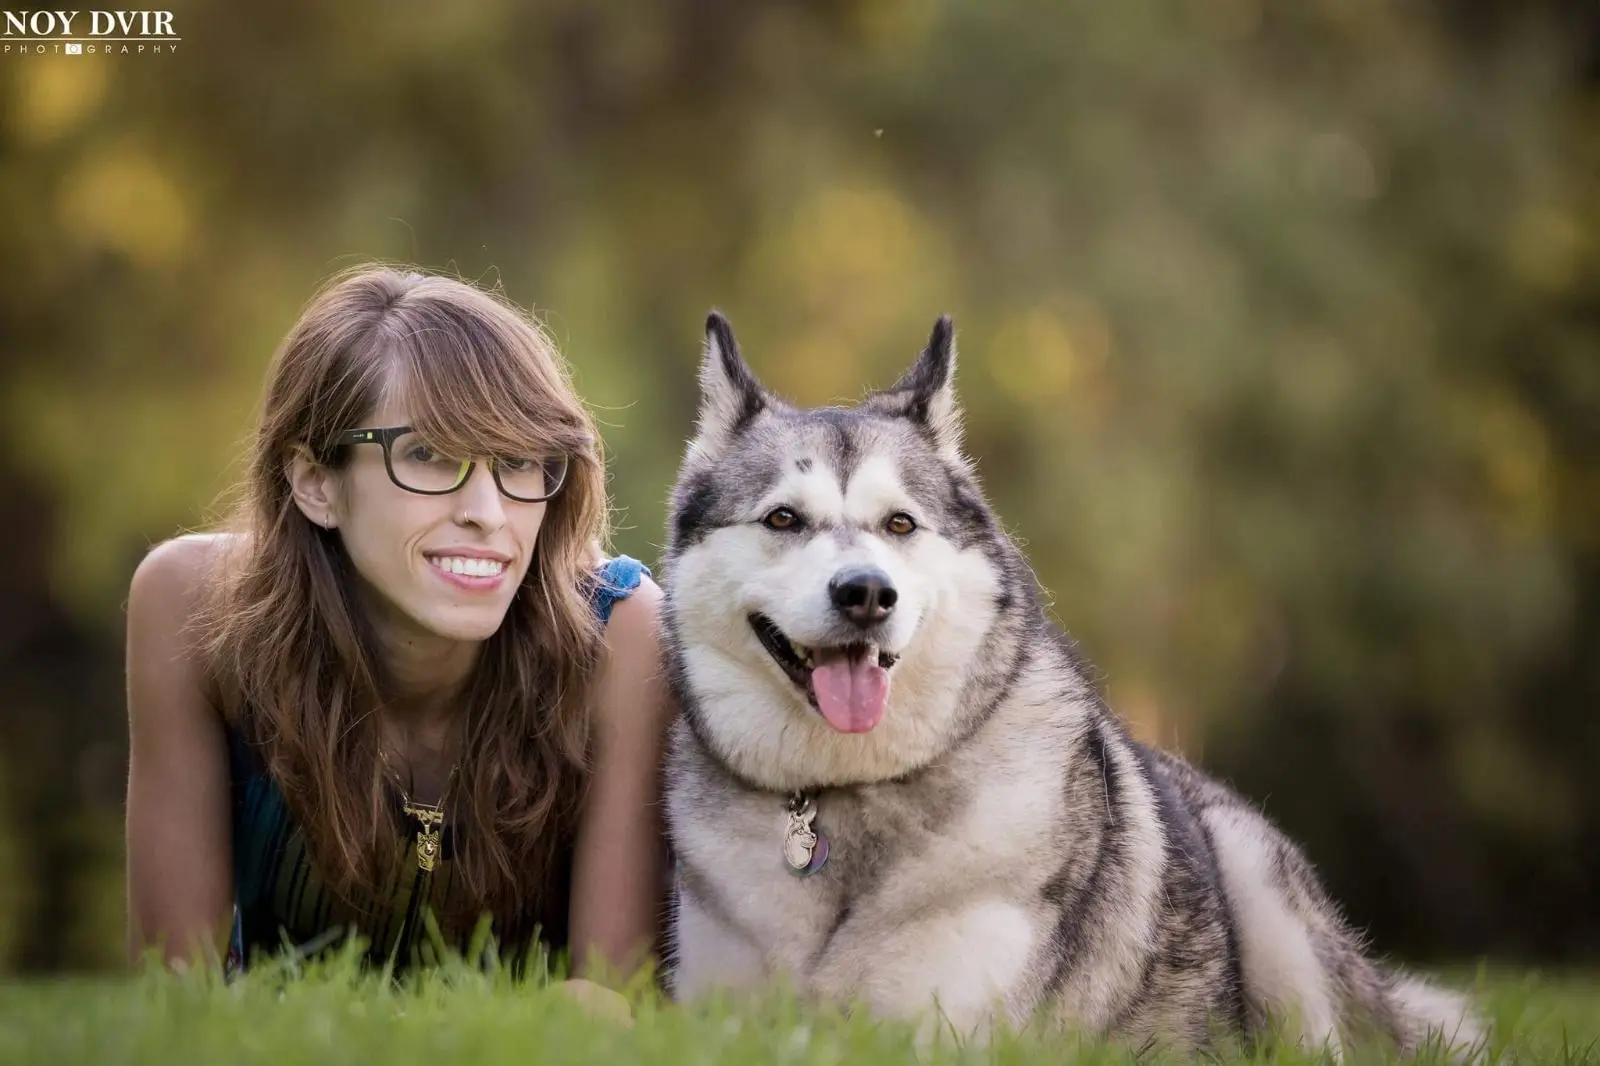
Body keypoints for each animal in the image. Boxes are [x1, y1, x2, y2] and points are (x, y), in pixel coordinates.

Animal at [656, 308, 1478, 1056]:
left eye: (900, 525)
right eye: (783, 519)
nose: (866, 594)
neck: (843, 794)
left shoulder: (945, 1026)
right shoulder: (710, 1012)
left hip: (1256, 878)